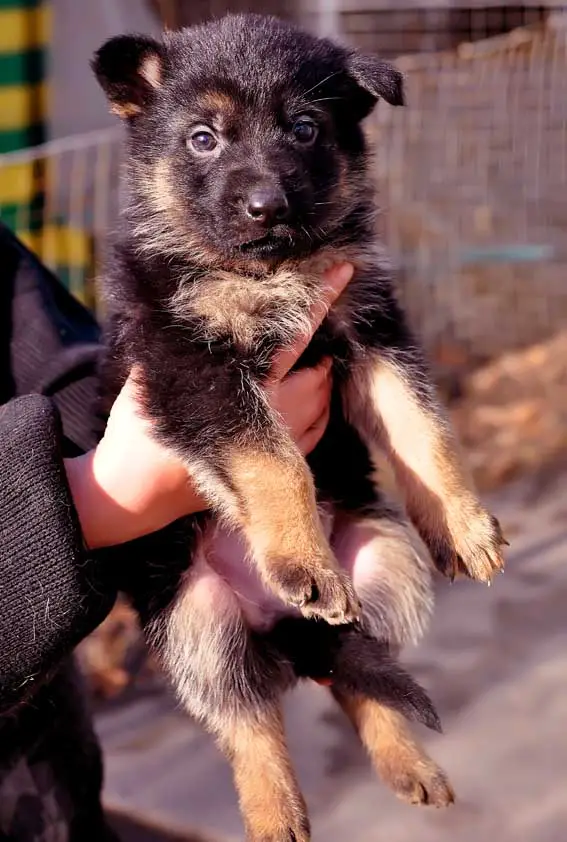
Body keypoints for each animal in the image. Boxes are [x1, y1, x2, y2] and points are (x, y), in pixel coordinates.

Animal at [93, 13, 506, 840]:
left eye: (305, 128)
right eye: (202, 139)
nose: (266, 204)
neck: (265, 270)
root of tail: (275, 623)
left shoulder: (368, 328)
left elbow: (423, 429)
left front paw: (463, 521)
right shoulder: (189, 362)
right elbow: (270, 455)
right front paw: (298, 556)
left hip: (383, 562)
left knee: (351, 670)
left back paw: (404, 761)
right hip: (195, 621)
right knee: (245, 716)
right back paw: (273, 808)